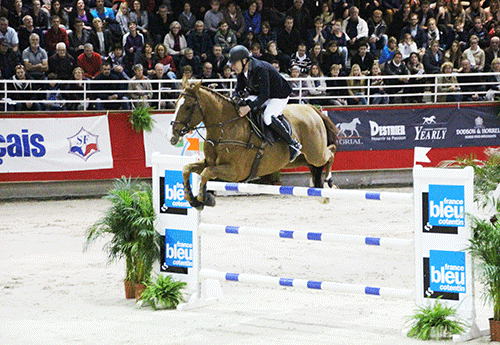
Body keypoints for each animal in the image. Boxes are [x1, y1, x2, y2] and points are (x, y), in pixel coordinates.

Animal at [170, 80, 338, 210]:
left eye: (187, 107)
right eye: (176, 104)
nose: (173, 136)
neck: (224, 128)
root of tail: (312, 109)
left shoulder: (235, 172)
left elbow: (206, 173)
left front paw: (203, 199)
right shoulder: (209, 162)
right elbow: (187, 169)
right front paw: (193, 199)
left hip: (315, 153)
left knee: (330, 153)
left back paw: (329, 183)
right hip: (297, 159)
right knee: (314, 165)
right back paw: (319, 191)